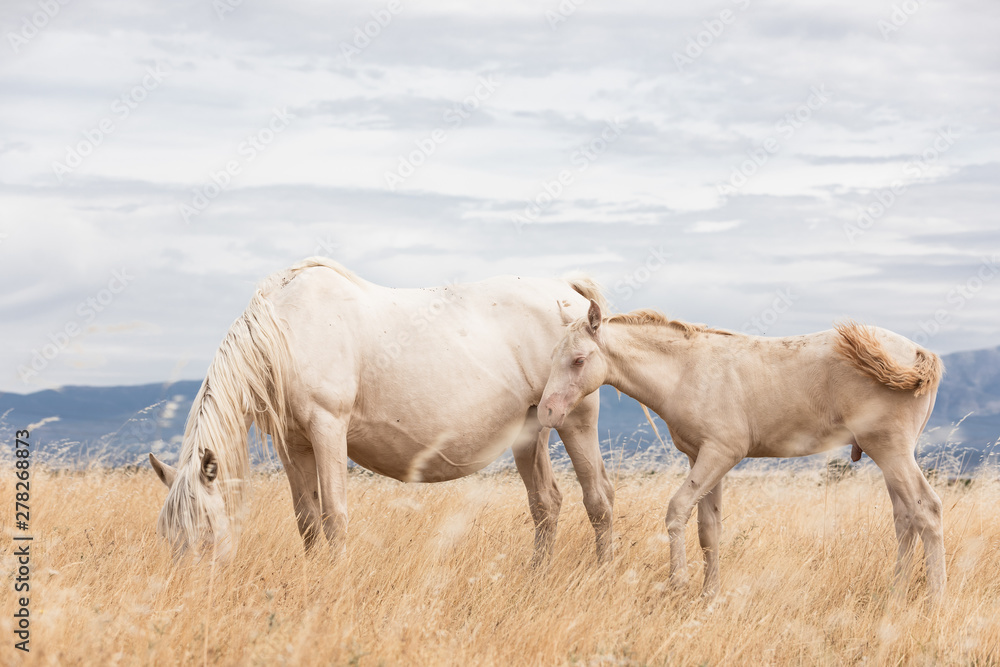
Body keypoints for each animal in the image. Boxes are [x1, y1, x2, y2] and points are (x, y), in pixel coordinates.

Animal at [149, 257, 615, 564]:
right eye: (168, 535)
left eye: (207, 532)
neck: (284, 330)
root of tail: (567, 289)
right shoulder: (293, 444)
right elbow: (307, 520)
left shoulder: (327, 428)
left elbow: (334, 516)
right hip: (532, 431)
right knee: (546, 504)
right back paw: (538, 574)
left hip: (577, 422)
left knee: (599, 499)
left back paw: (603, 572)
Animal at [538, 299, 945, 603]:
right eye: (553, 355)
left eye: (578, 360)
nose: (547, 412)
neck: (688, 371)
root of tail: (919, 352)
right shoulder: (701, 457)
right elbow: (708, 528)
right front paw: (709, 595)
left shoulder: (721, 453)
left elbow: (677, 510)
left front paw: (677, 583)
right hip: (888, 457)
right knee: (905, 518)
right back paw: (895, 595)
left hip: (892, 452)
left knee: (927, 511)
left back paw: (936, 601)